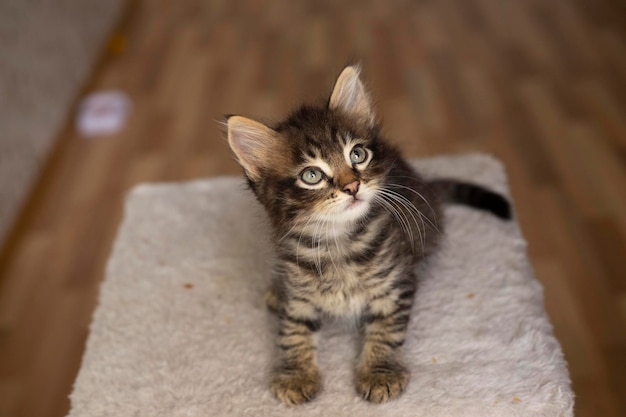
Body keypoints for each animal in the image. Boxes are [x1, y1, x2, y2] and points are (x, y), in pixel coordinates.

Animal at [224, 66, 508, 404]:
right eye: (311, 175)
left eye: (357, 155)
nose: (352, 186)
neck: (337, 241)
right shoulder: (298, 294)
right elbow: (293, 331)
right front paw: (296, 374)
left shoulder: (396, 283)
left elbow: (386, 330)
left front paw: (379, 373)